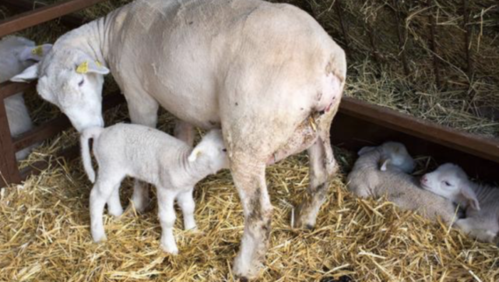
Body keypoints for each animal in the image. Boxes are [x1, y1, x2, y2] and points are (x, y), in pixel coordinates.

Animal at [81, 124, 229, 254]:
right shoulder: (165, 190)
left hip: (114, 169)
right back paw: (98, 235)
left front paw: (192, 229)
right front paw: (169, 246)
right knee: (96, 196)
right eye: (224, 149)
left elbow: (189, 207)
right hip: (110, 164)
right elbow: (167, 218)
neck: (185, 164)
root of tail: (101, 132)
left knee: (112, 189)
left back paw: (116, 213)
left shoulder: (185, 190)